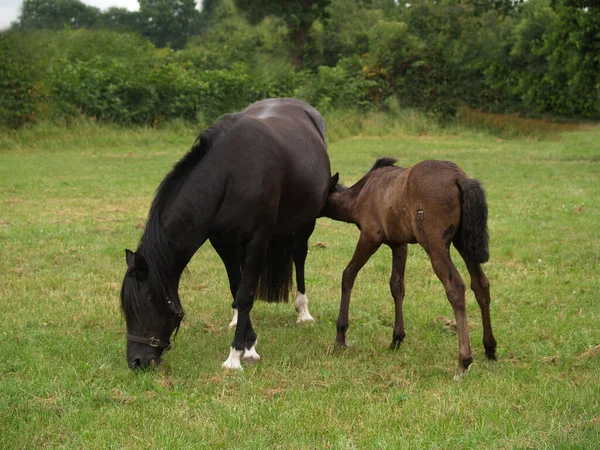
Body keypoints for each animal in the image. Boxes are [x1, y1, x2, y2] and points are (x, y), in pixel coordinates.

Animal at [119, 98, 330, 370]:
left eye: (145, 306)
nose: (136, 361)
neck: (230, 173)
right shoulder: (222, 243)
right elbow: (237, 288)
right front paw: (250, 344)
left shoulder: (257, 241)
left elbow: (246, 295)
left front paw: (236, 356)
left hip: (304, 224)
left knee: (299, 256)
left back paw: (303, 312)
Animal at [324, 158, 496, 376]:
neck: (357, 197)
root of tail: (460, 179)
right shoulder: (399, 243)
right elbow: (397, 285)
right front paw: (396, 338)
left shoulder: (371, 236)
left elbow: (348, 275)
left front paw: (341, 336)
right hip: (464, 242)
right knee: (480, 284)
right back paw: (490, 348)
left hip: (435, 245)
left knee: (456, 287)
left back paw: (463, 361)